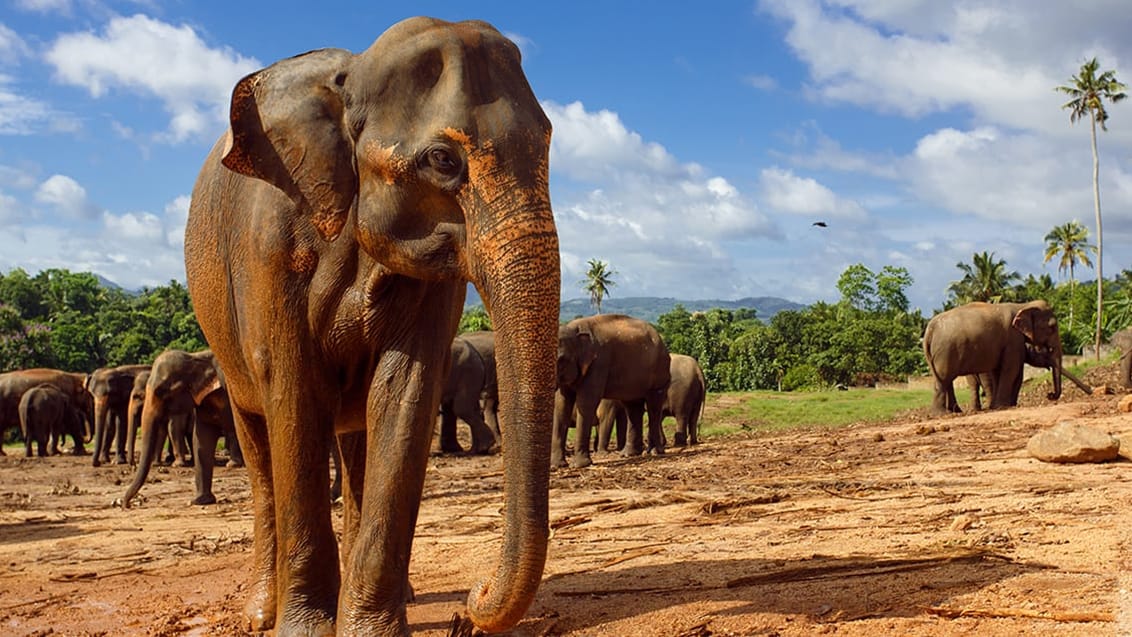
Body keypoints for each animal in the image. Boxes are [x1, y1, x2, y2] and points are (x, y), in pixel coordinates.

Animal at [120, 348, 242, 509]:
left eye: (161, 391)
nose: (126, 504)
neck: (196, 358)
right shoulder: (201, 400)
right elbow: (201, 439)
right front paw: (199, 500)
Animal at [181, 16, 561, 637]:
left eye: (547, 142)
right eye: (443, 160)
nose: (474, 597)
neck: (351, 74)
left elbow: (405, 391)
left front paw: (367, 627)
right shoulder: (267, 252)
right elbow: (294, 395)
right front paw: (305, 629)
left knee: (357, 434)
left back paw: (395, 596)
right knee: (258, 444)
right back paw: (262, 611)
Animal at [556, 314, 670, 468]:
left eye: (561, 359)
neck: (574, 329)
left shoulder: (598, 364)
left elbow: (586, 402)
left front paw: (579, 465)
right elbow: (561, 404)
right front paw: (557, 465)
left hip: (659, 374)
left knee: (653, 408)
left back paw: (654, 452)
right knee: (633, 407)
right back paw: (629, 454)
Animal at [919, 300, 1059, 416]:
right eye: (1052, 327)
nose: (1050, 395)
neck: (1023, 305)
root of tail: (929, 331)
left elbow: (999, 371)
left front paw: (996, 406)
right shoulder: (1013, 340)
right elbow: (1010, 370)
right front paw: (1002, 406)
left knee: (945, 379)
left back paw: (956, 411)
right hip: (946, 351)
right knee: (944, 379)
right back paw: (942, 414)